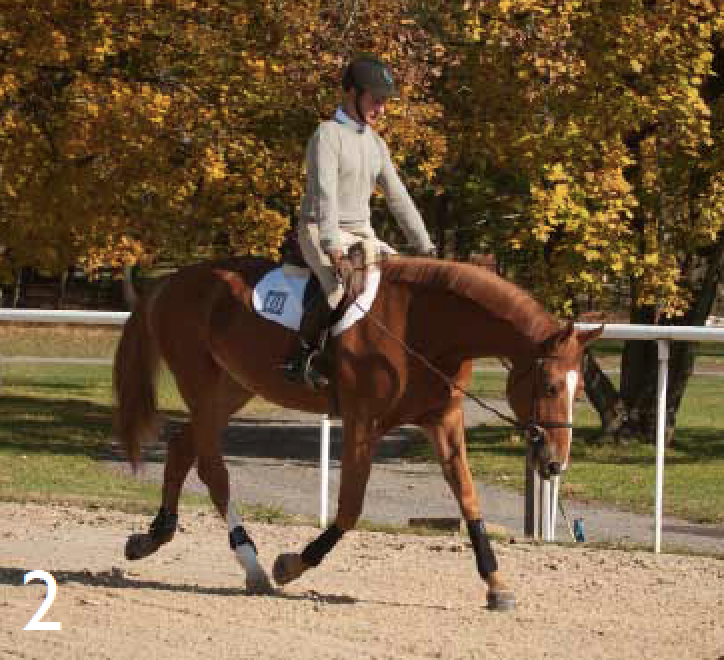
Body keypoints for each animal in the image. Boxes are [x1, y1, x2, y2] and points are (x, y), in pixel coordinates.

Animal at [112, 253, 602, 611]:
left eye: (579, 392)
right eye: (550, 386)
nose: (554, 463)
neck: (422, 326)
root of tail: (170, 281)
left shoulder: (443, 421)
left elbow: (468, 499)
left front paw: (496, 585)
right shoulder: (363, 423)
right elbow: (349, 508)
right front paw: (292, 565)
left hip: (231, 388)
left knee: (182, 447)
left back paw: (153, 537)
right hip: (200, 382)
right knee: (214, 470)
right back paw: (251, 564)